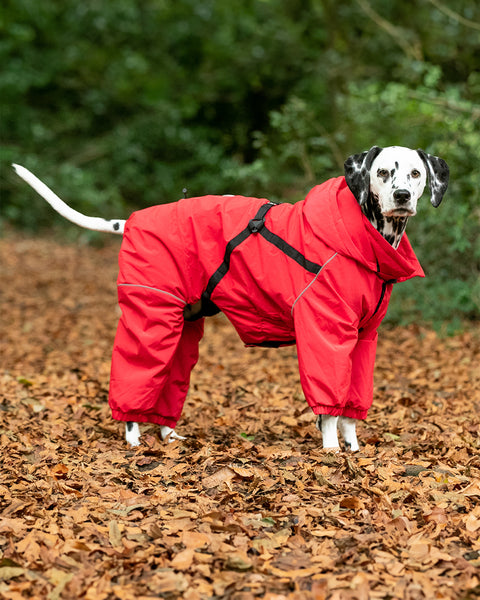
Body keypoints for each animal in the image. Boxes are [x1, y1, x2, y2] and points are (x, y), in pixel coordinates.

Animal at [12, 149, 450, 450]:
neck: (363, 240)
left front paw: (354, 450)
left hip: (184, 328)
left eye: (415, 172)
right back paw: (133, 437)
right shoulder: (326, 335)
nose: (402, 194)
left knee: (170, 385)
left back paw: (170, 435)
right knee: (136, 381)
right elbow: (328, 408)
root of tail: (132, 220)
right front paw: (330, 454)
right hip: (151, 321)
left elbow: (350, 412)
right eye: (383, 171)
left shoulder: (363, 339)